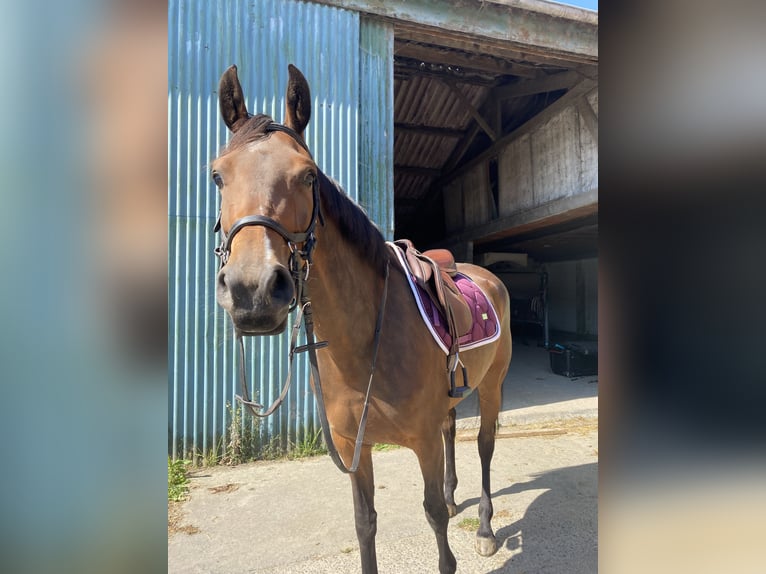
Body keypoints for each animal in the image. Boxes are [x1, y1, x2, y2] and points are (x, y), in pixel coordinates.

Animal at [210, 64, 512, 574]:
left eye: (308, 176)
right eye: (217, 176)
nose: (252, 291)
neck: (364, 342)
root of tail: (487, 277)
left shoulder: (422, 442)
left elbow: (433, 518)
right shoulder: (357, 446)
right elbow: (365, 523)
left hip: (491, 386)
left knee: (486, 445)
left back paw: (487, 528)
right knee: (453, 430)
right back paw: (458, 498)